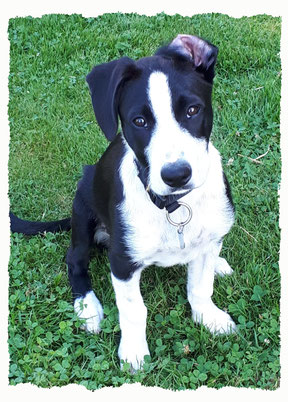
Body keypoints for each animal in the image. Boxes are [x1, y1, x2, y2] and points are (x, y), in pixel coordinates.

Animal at [10, 33, 236, 370]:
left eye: (193, 111)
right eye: (139, 121)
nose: (177, 175)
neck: (173, 205)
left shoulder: (208, 240)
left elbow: (200, 286)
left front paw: (209, 317)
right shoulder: (122, 262)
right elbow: (133, 310)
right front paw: (133, 351)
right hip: (82, 209)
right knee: (75, 260)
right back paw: (87, 307)